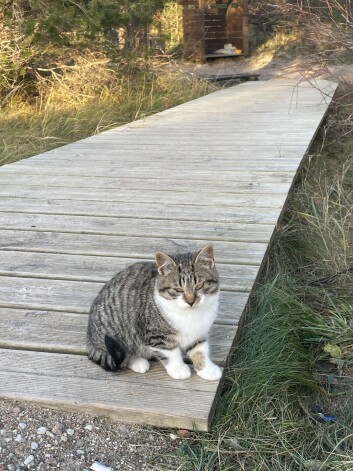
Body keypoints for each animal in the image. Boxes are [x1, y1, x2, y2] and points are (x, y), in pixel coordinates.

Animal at [86, 245, 221, 382]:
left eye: (199, 286)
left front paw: (206, 369)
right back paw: (137, 361)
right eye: (178, 289)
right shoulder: (157, 335)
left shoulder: (199, 333)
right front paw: (178, 368)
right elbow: (170, 352)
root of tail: (91, 341)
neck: (190, 314)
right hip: (121, 332)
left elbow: (199, 350)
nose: (191, 301)